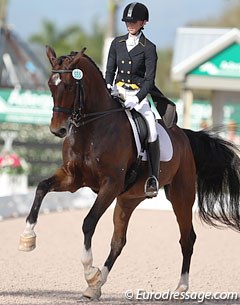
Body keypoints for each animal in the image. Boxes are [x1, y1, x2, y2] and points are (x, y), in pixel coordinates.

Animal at [18, 46, 240, 298]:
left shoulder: (110, 184)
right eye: (50, 84)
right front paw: (27, 238)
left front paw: (89, 269)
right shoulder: (73, 178)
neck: (92, 128)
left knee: (187, 238)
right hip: (128, 199)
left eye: (69, 85)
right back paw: (95, 286)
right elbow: (41, 187)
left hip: (180, 196)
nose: (58, 130)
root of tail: (183, 134)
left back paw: (180, 287)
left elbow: (88, 222)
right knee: (118, 242)